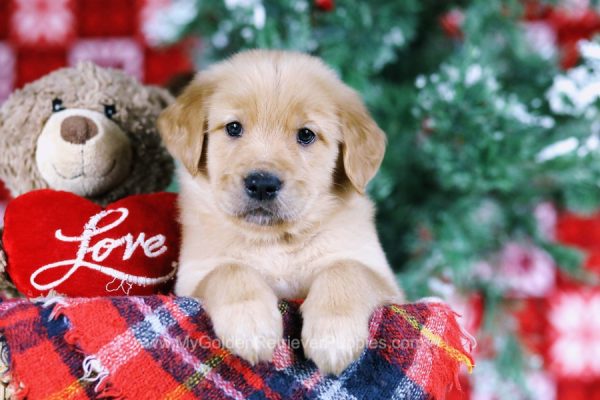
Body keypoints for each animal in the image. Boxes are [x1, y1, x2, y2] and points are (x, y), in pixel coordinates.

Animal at [159, 50, 404, 376]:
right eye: (233, 128)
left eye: (306, 135)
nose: (262, 184)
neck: (275, 239)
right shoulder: (192, 277)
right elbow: (229, 269)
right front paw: (251, 324)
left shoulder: (385, 281)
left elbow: (346, 268)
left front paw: (333, 334)